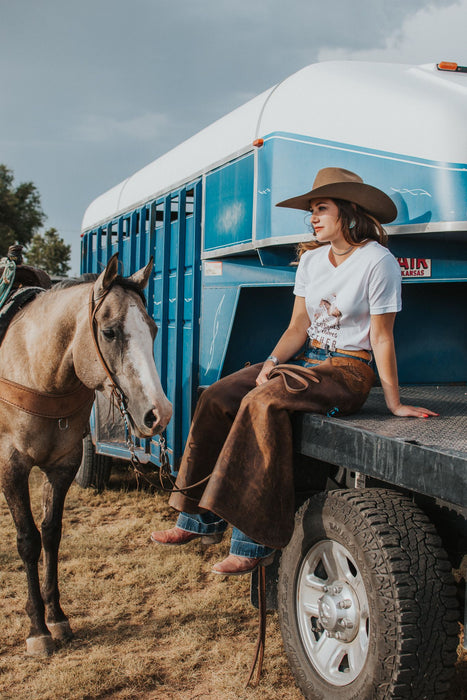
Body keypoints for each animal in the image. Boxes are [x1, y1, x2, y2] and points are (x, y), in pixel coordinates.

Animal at [0, 256, 173, 656]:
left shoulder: (62, 467)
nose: (158, 413)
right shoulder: (12, 466)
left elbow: (51, 533)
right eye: (109, 332)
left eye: (154, 328)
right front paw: (37, 629)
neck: (35, 368)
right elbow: (28, 540)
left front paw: (57, 617)